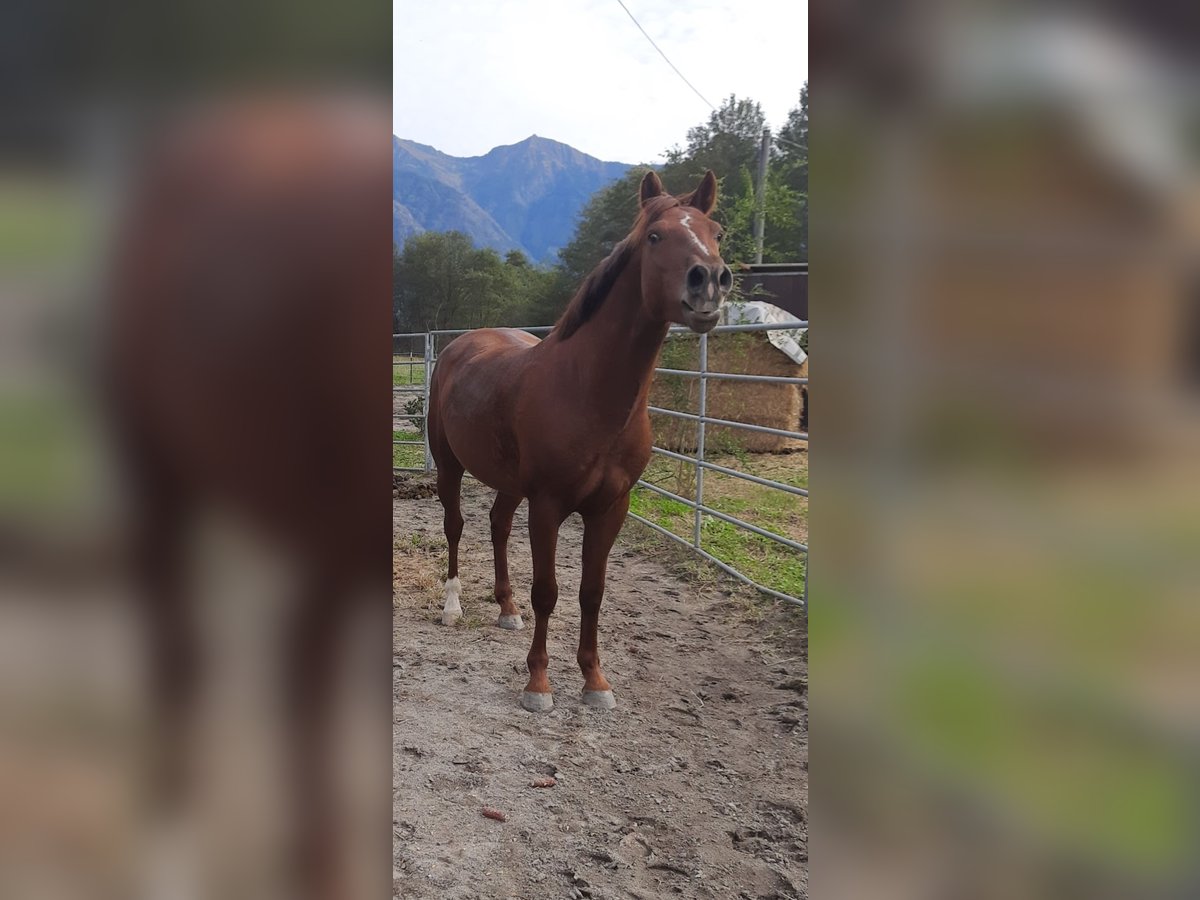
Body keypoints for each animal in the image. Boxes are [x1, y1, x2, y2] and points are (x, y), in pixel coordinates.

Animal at [432, 170, 729, 710]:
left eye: (716, 232)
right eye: (655, 236)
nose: (710, 283)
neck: (587, 392)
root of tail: (460, 344)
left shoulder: (611, 506)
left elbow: (592, 591)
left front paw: (595, 681)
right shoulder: (549, 504)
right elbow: (548, 591)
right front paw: (538, 684)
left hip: (510, 483)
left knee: (498, 525)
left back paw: (506, 608)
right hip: (449, 466)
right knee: (456, 526)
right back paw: (452, 606)